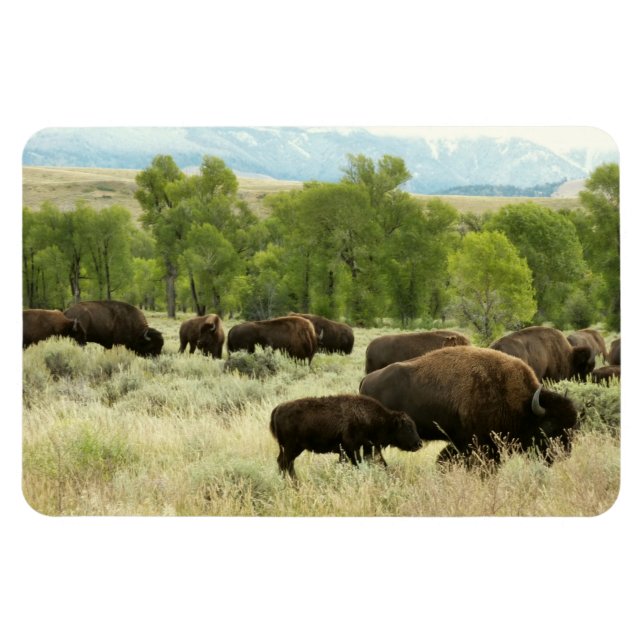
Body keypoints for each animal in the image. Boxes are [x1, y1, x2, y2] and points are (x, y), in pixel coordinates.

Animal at [269, 394, 423, 478]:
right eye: (408, 428)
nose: (419, 443)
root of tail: (278, 409)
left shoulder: (359, 448)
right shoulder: (351, 448)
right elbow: (357, 463)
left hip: (290, 449)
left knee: (284, 463)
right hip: (292, 448)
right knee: (285, 463)